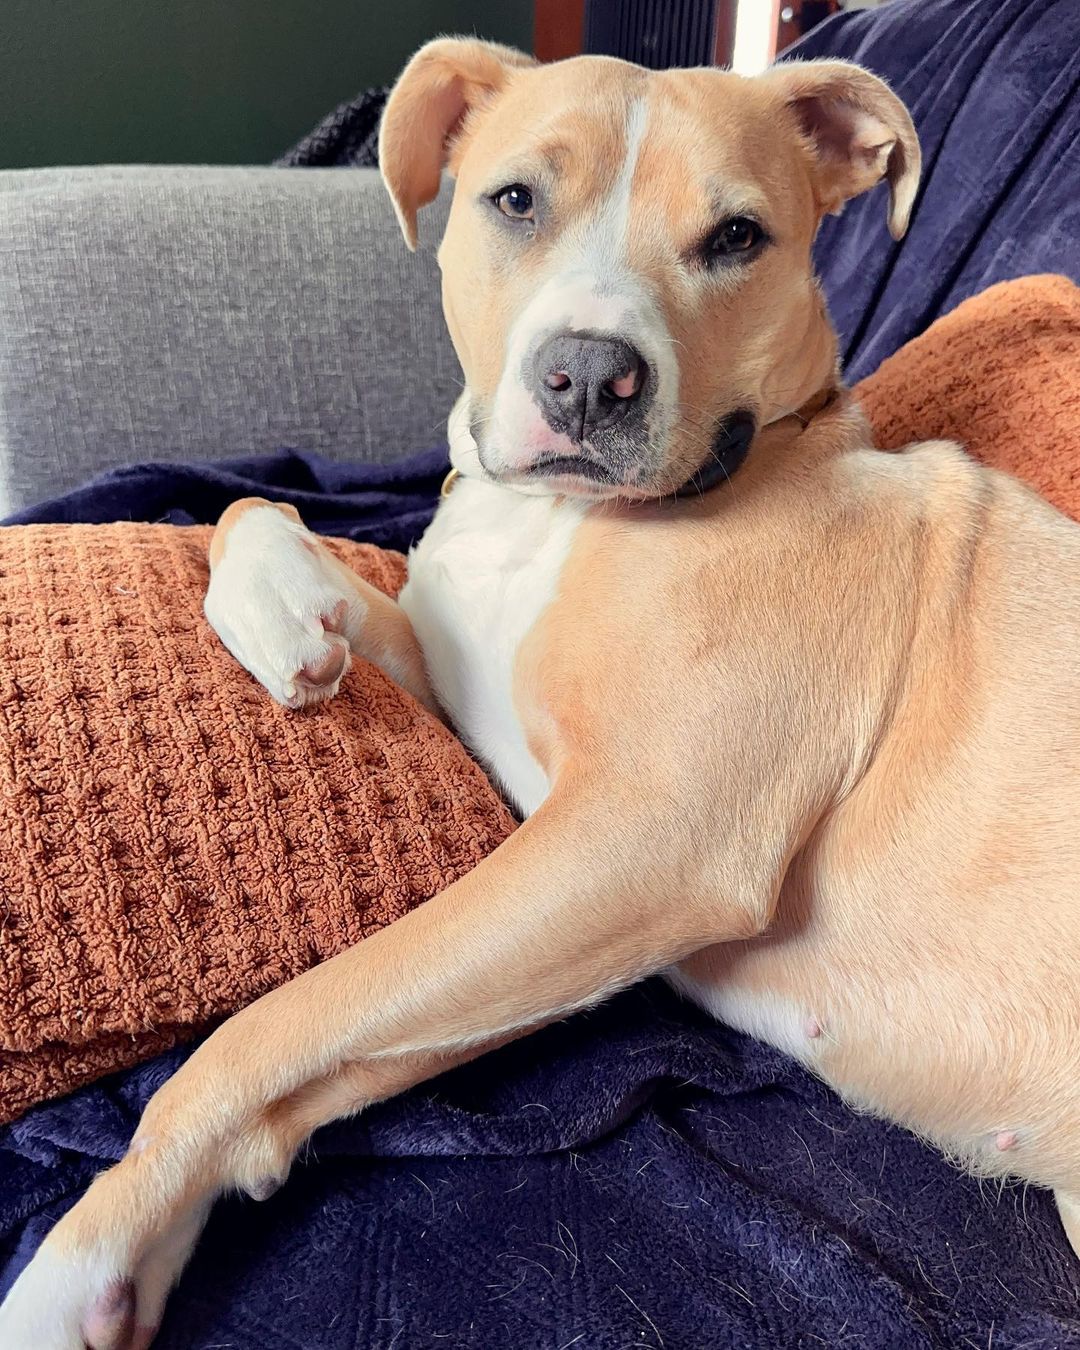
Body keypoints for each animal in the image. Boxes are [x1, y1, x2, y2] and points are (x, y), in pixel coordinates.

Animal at [2, 39, 1080, 1350]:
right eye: (514, 200)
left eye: (738, 236)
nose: (587, 378)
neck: (556, 518)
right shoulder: (455, 660)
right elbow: (250, 507)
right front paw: (279, 620)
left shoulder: (643, 841)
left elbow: (283, 1020)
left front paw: (93, 1252)